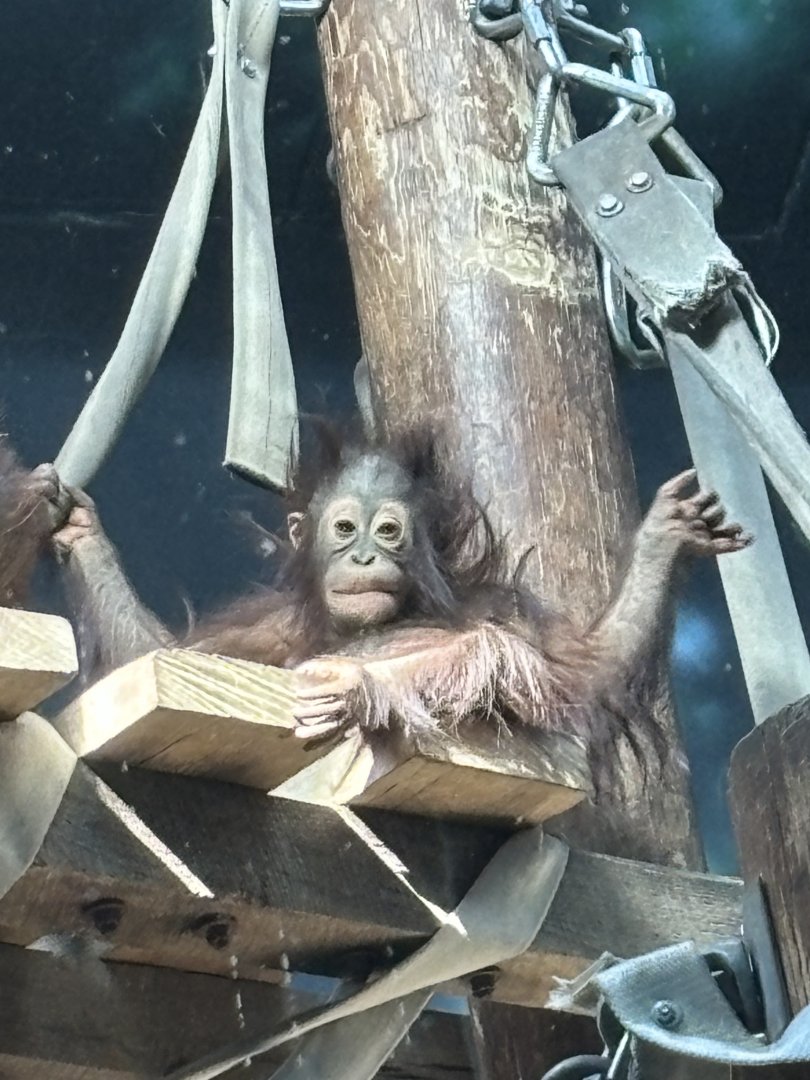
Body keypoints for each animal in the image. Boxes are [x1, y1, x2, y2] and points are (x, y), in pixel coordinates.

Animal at [35, 424, 750, 786]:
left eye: (388, 532)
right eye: (345, 529)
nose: (362, 558)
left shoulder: (488, 600)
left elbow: (562, 670)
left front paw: (357, 689)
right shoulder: (268, 632)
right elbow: (158, 659)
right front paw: (81, 531)